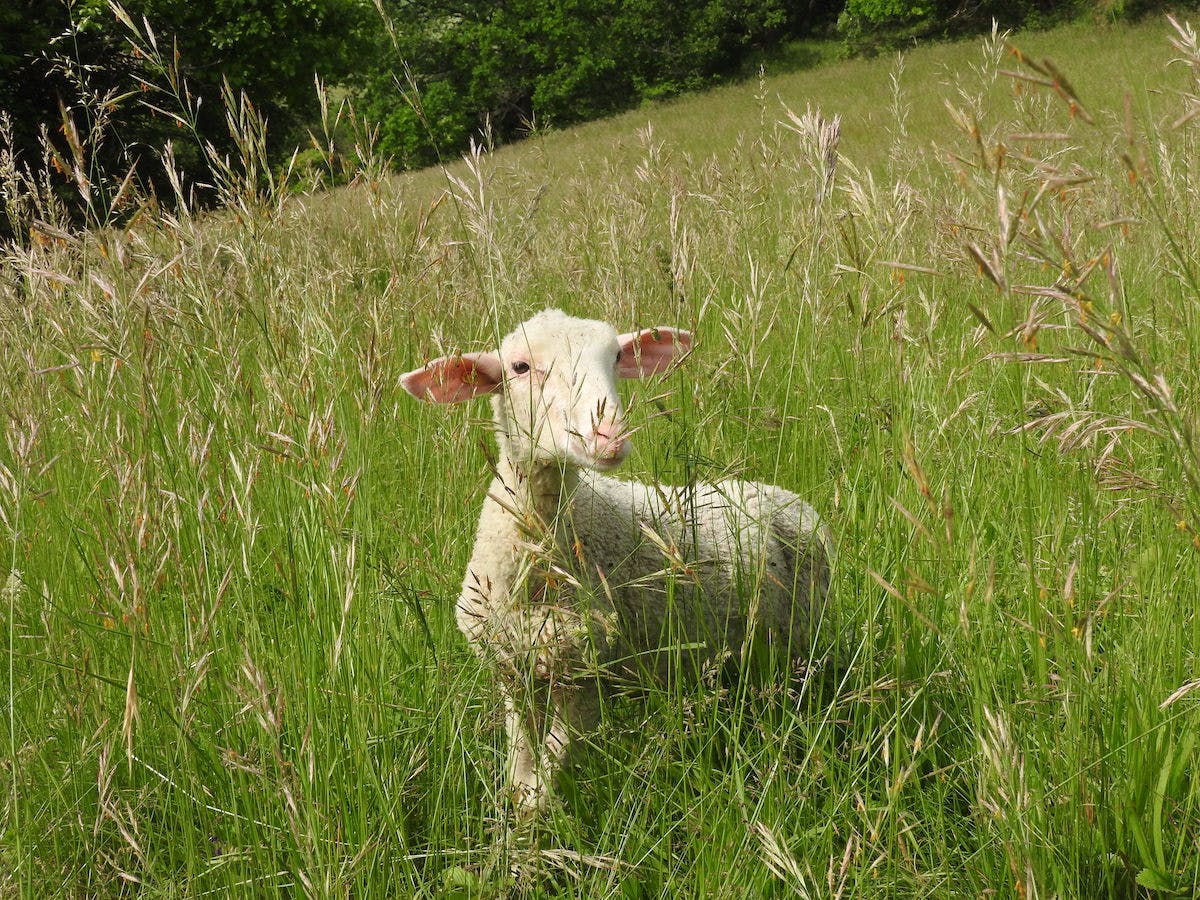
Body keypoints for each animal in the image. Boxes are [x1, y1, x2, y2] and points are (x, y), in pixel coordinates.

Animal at [398, 309, 830, 816]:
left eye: (617, 357)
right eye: (520, 367)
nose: (607, 435)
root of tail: (785, 494)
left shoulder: (590, 672)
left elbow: (546, 776)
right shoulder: (513, 669)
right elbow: (522, 767)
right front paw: (517, 815)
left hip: (797, 642)